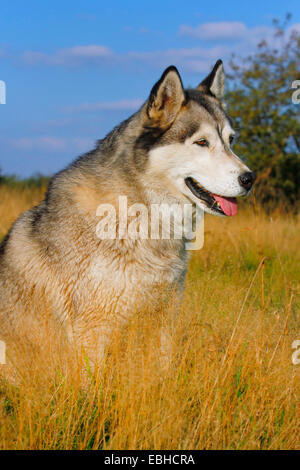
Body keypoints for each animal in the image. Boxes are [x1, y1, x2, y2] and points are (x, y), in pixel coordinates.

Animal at [0, 59, 255, 368]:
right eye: (202, 142)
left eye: (231, 140)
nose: (250, 179)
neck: (143, 214)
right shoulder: (93, 328)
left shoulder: (163, 317)